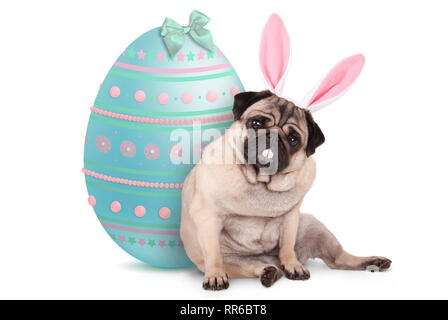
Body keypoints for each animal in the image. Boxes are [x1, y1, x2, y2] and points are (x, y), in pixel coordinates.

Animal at [180, 90, 390, 290]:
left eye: (293, 139)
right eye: (256, 123)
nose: (272, 136)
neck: (261, 181)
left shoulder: (291, 218)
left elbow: (287, 246)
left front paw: (293, 266)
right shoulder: (208, 217)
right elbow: (213, 252)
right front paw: (215, 275)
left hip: (315, 228)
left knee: (339, 259)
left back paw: (373, 262)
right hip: (235, 263)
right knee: (255, 266)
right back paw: (268, 272)